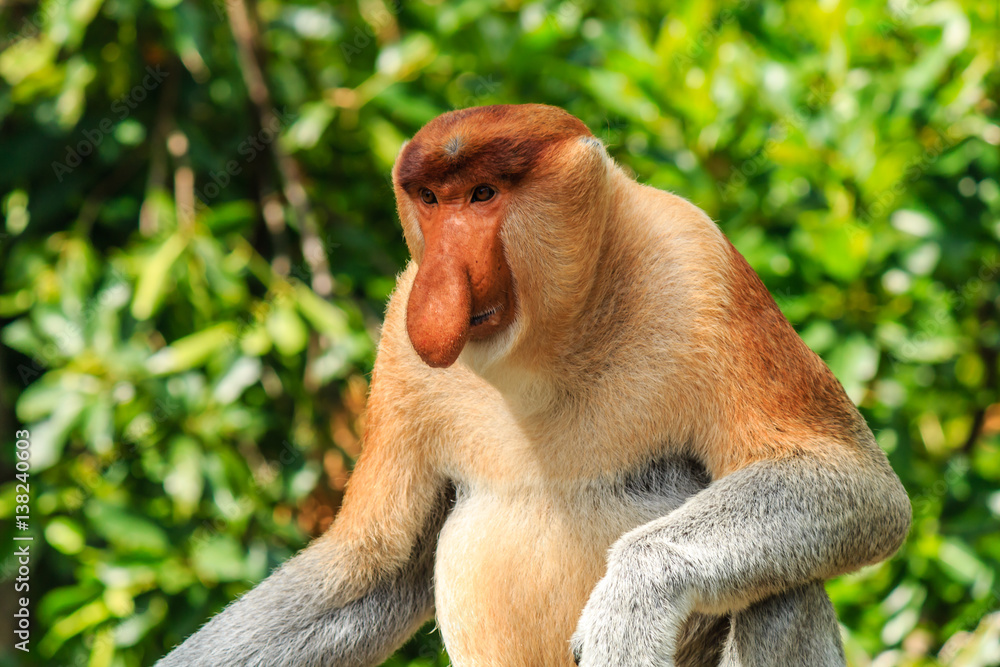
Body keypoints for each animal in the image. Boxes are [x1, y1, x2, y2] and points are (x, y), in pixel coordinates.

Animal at [157, 104, 911, 667]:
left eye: (483, 195)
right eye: (430, 200)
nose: (440, 286)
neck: (548, 347)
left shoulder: (699, 264)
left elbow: (855, 481)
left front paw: (629, 606)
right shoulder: (401, 347)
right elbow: (375, 562)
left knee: (783, 593)